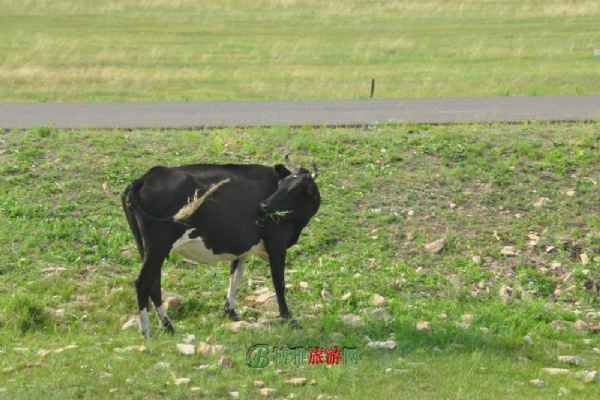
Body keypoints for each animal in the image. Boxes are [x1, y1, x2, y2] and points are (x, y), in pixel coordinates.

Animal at [119, 157, 322, 338]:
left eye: (294, 188)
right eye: (280, 184)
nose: (264, 205)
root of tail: (148, 176)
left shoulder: (241, 247)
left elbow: (235, 276)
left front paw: (229, 311)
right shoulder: (277, 244)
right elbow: (279, 283)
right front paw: (288, 318)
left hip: (144, 245)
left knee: (154, 283)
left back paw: (168, 327)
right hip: (158, 245)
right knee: (143, 282)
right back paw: (147, 331)